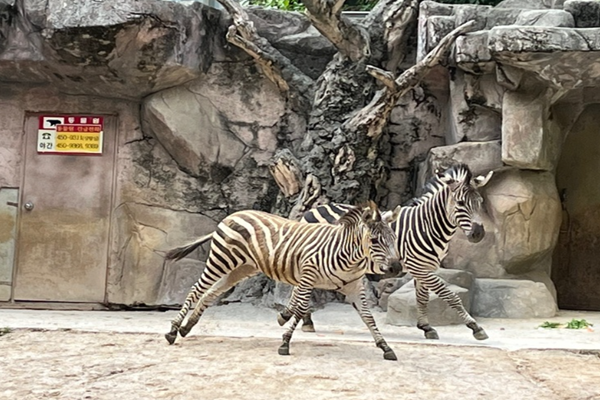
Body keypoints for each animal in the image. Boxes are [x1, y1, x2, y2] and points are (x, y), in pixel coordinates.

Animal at [163, 202, 404, 360]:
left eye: (394, 238)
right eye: (375, 240)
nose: (396, 268)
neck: (349, 257)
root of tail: (232, 215)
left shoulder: (354, 287)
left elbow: (368, 317)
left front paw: (385, 347)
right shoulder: (308, 276)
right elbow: (300, 309)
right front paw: (285, 342)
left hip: (241, 269)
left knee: (210, 292)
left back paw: (186, 328)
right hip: (221, 260)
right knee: (196, 289)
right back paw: (173, 330)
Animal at [280, 164, 492, 342]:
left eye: (480, 202)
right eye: (461, 203)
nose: (479, 234)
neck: (428, 226)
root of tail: (312, 210)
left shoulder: (426, 267)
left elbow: (422, 297)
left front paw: (426, 327)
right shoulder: (418, 267)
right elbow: (449, 294)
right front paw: (475, 327)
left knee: (300, 286)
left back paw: (295, 317)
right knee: (301, 286)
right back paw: (302, 319)